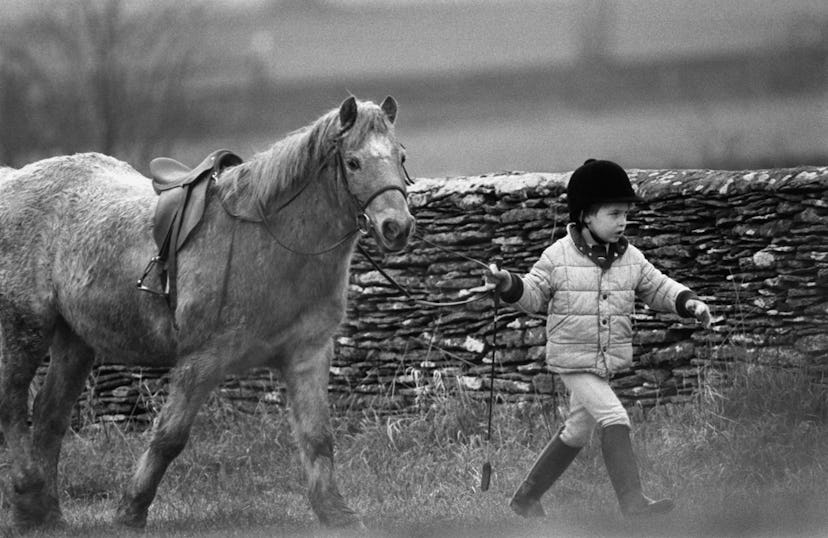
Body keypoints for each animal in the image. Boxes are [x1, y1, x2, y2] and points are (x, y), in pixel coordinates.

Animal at [0, 94, 414, 524]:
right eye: (353, 162)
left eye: (400, 157)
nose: (396, 226)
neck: (271, 239)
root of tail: (12, 180)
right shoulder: (202, 360)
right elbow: (169, 438)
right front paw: (129, 513)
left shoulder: (307, 354)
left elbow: (318, 437)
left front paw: (336, 513)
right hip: (26, 326)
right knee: (11, 404)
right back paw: (27, 496)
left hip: (75, 340)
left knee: (49, 416)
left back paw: (46, 517)